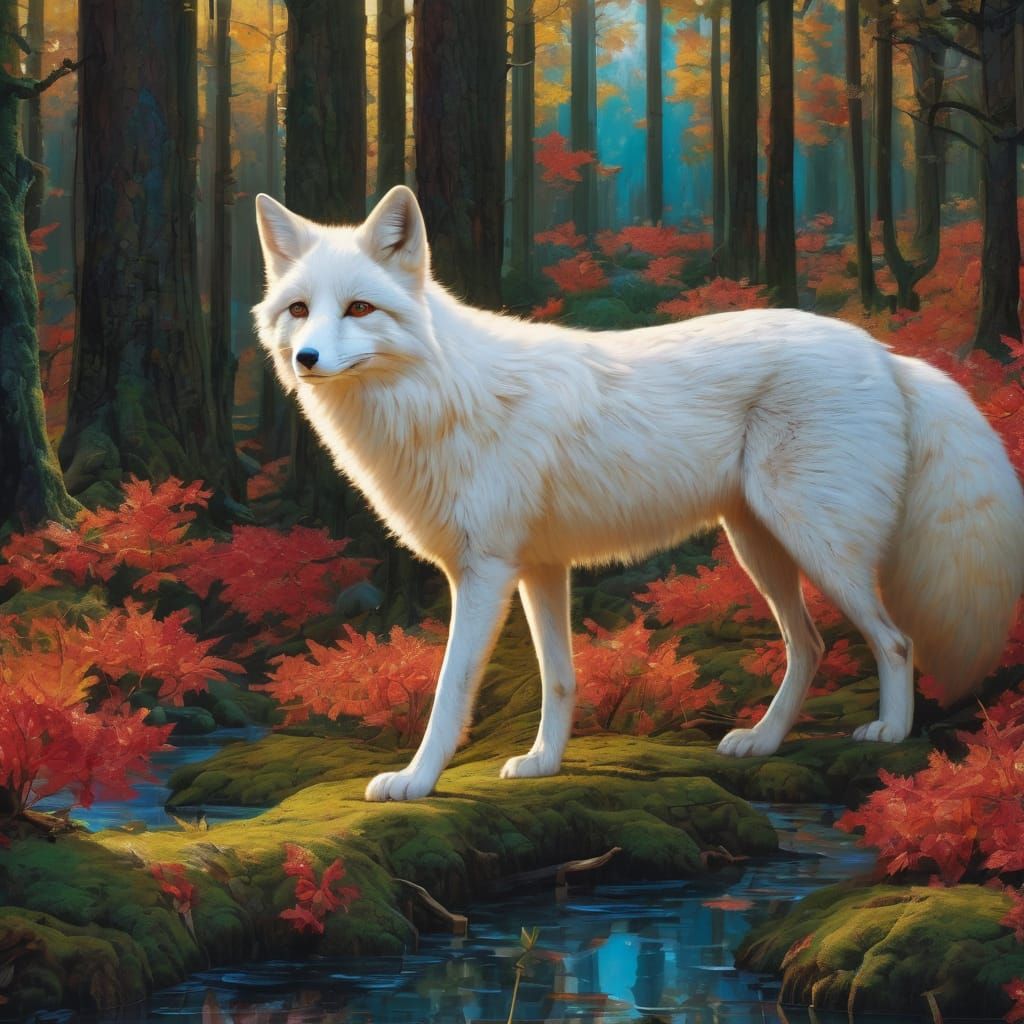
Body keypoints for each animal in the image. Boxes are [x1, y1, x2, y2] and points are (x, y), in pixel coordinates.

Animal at [253, 185, 1024, 803]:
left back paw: (890, 730)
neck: (439, 394)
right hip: (760, 548)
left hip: (819, 544)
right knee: (809, 646)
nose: (307, 359)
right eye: (300, 310)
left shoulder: (483, 573)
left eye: (359, 308)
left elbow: (451, 691)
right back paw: (763, 741)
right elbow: (559, 677)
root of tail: (886, 354)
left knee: (893, 639)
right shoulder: (540, 569)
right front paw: (544, 763)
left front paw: (416, 781)